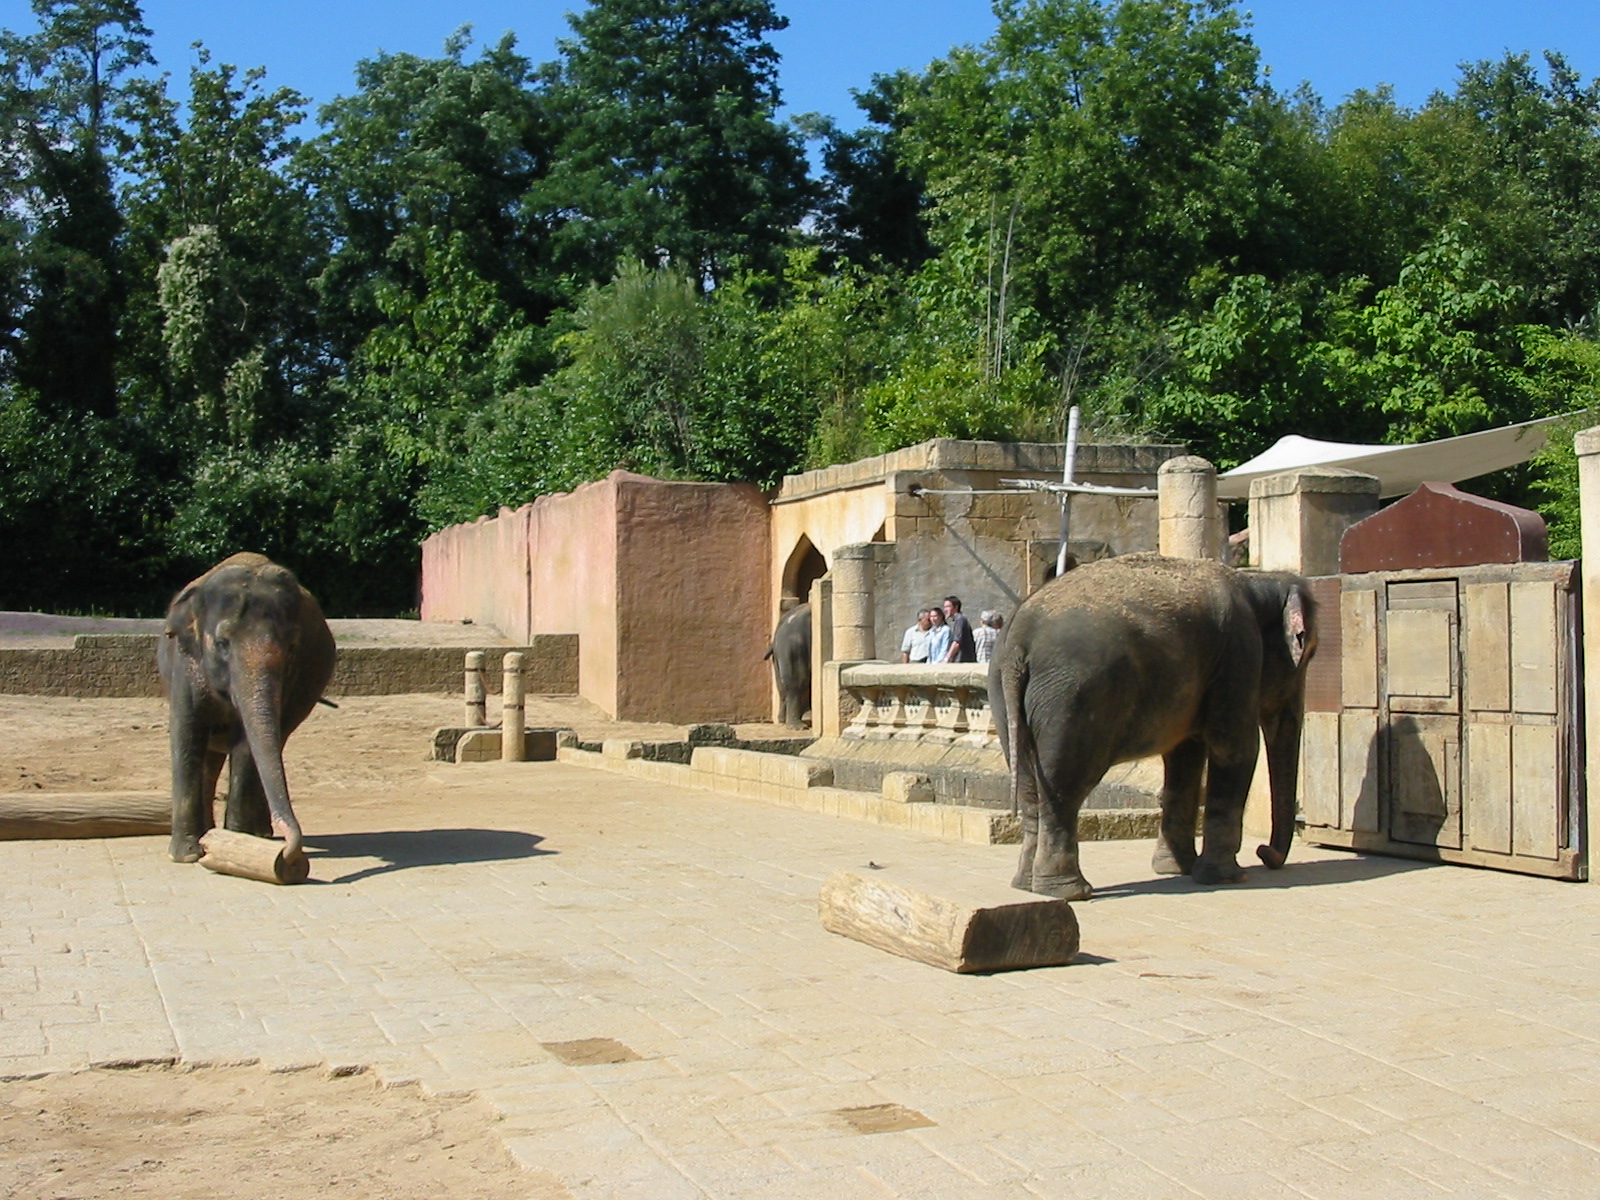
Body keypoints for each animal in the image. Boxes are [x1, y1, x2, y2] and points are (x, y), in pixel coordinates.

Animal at [157, 553, 336, 867]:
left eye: (292, 648)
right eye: (221, 643)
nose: (289, 855)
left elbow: (246, 745)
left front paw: (234, 842)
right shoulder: (185, 663)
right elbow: (186, 732)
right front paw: (185, 855)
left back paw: (256, 834)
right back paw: (209, 834)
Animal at [989, 554, 1317, 900]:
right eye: (1308, 654)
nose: (1265, 853)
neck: (1257, 581)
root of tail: (1018, 639)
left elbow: (1185, 756)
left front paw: (1177, 869)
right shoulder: (1239, 650)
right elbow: (1235, 748)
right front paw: (1227, 878)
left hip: (1006, 699)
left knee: (1029, 786)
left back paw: (1028, 886)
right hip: (1071, 699)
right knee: (1064, 785)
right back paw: (1068, 892)